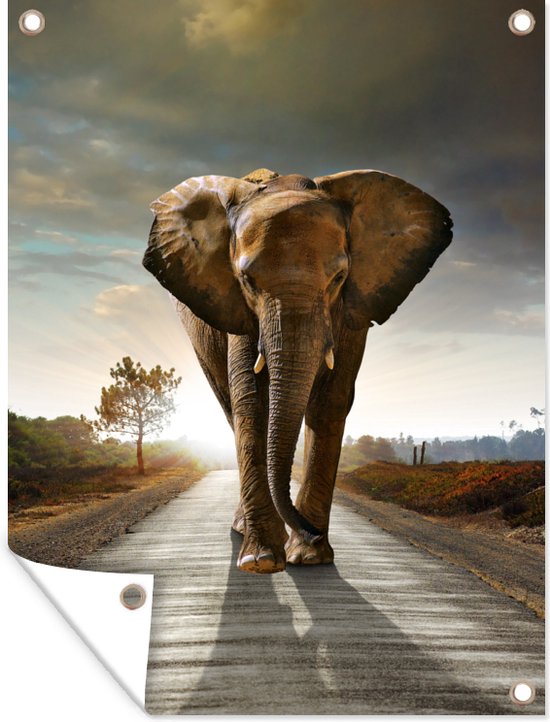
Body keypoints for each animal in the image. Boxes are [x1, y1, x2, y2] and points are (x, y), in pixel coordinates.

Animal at [143, 168, 452, 574]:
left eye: (338, 278)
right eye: (247, 281)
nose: (311, 531)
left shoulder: (352, 310)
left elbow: (331, 401)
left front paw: (309, 557)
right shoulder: (239, 311)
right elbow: (252, 401)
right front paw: (261, 561)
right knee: (230, 407)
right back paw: (245, 532)